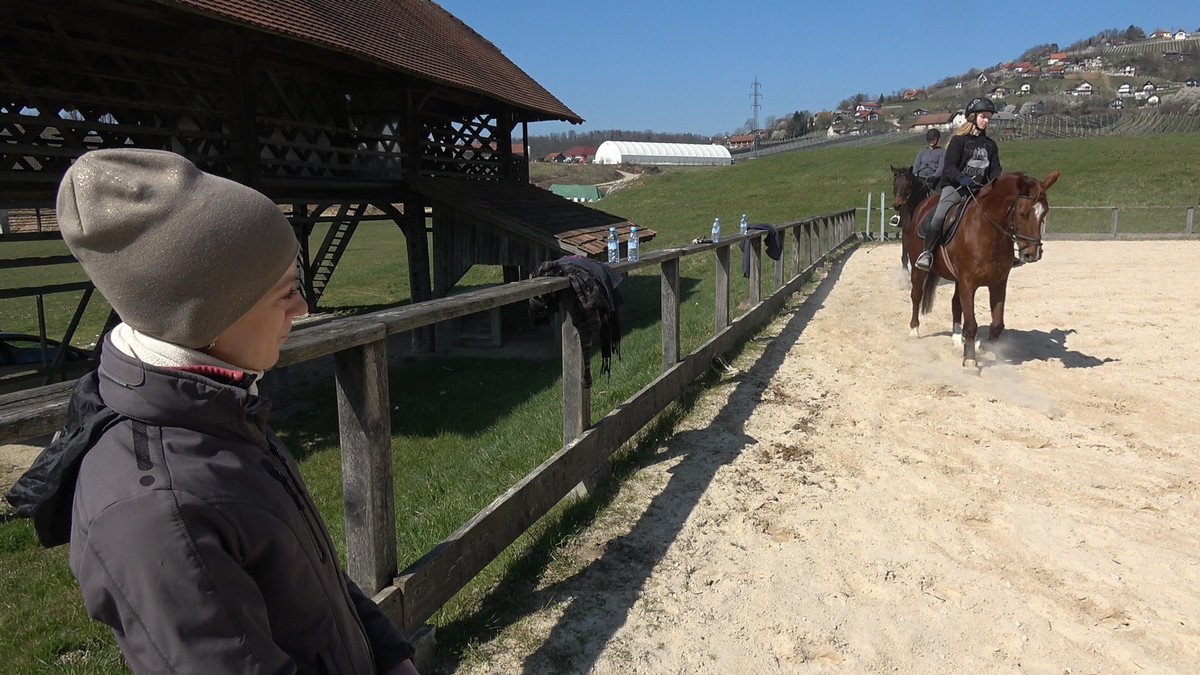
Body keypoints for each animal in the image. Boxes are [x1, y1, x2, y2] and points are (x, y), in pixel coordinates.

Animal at [902, 170, 1065, 365]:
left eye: (1044, 213)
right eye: (1022, 213)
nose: (1032, 254)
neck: (989, 232)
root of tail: (924, 204)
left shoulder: (998, 282)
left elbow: (997, 324)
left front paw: (984, 347)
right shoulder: (968, 283)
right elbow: (971, 324)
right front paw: (970, 360)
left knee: (955, 304)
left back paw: (957, 340)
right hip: (919, 269)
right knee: (916, 295)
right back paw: (914, 331)